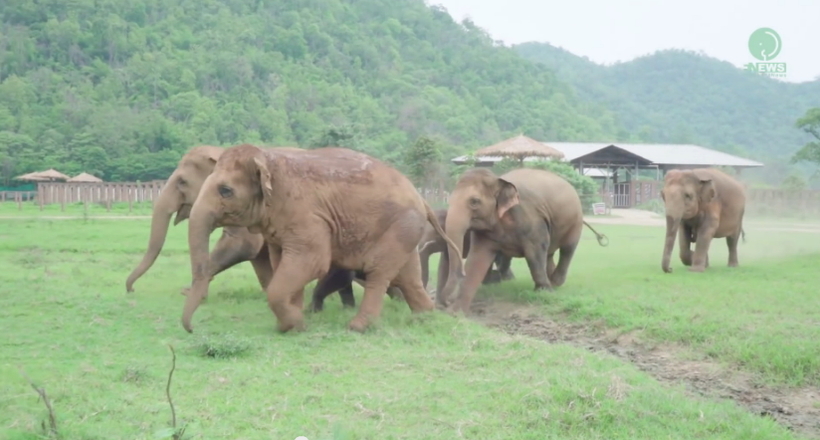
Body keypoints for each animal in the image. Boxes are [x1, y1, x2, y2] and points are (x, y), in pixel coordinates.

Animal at [183, 144, 464, 334]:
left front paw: (295, 325)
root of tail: (422, 199)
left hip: (399, 227)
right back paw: (423, 318)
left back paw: (357, 327)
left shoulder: (307, 216)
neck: (267, 157)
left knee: (379, 274)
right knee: (408, 278)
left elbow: (312, 262)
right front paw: (292, 323)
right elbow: (282, 262)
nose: (192, 329)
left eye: (225, 191)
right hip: (406, 230)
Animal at [436, 167, 608, 314]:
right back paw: (551, 279)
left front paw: (544, 292)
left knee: (567, 249)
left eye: (474, 202)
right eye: (449, 199)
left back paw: (555, 282)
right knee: (549, 253)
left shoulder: (532, 219)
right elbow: (477, 259)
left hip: (575, 220)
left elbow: (535, 253)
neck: (499, 180)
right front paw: (456, 313)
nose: (446, 302)